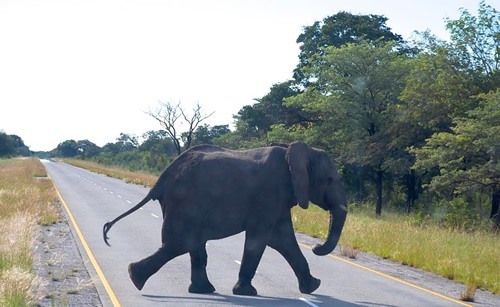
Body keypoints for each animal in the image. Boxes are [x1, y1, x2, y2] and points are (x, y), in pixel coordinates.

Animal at [103, 141, 346, 296]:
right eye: (330, 179)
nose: (316, 247)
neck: (297, 151)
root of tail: (161, 179)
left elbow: (283, 239)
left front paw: (313, 287)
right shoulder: (270, 192)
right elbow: (261, 238)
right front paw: (246, 293)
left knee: (191, 244)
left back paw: (200, 289)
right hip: (185, 202)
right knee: (179, 243)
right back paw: (135, 277)